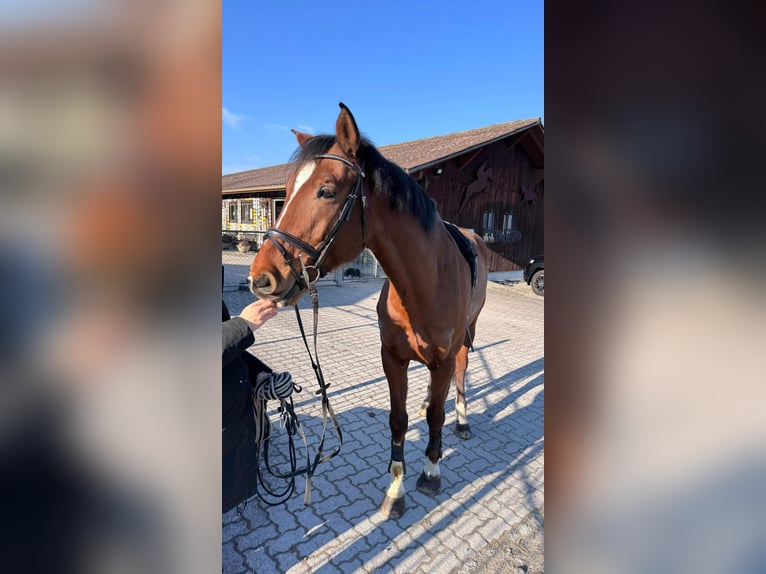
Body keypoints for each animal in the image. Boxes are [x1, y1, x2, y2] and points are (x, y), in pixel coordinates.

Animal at [249, 103, 488, 520]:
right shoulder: (392, 358)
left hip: (463, 338)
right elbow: (398, 420)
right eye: (287, 191)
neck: (422, 282)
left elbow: (435, 417)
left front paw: (430, 472)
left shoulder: (441, 359)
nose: (261, 278)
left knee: (460, 372)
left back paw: (461, 419)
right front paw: (395, 490)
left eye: (326, 190)